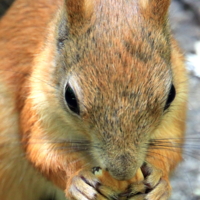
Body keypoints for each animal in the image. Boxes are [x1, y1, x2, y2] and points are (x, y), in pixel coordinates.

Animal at [0, 0, 188, 199]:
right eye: (70, 97)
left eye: (171, 94)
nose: (123, 172)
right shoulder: (38, 104)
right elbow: (41, 152)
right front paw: (78, 180)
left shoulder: (175, 114)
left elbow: (171, 147)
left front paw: (160, 181)